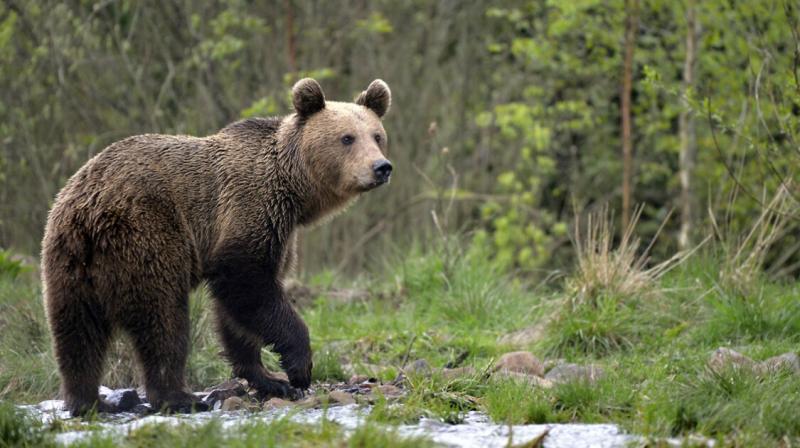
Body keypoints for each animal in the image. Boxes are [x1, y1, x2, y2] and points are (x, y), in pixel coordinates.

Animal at [42, 78, 392, 416]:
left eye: (377, 136)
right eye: (347, 138)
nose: (381, 167)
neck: (293, 190)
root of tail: (90, 209)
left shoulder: (280, 231)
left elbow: (237, 312)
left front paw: (269, 379)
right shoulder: (249, 210)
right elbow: (247, 285)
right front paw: (298, 369)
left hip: (68, 261)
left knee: (77, 334)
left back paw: (86, 400)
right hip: (146, 235)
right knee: (163, 319)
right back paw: (178, 396)